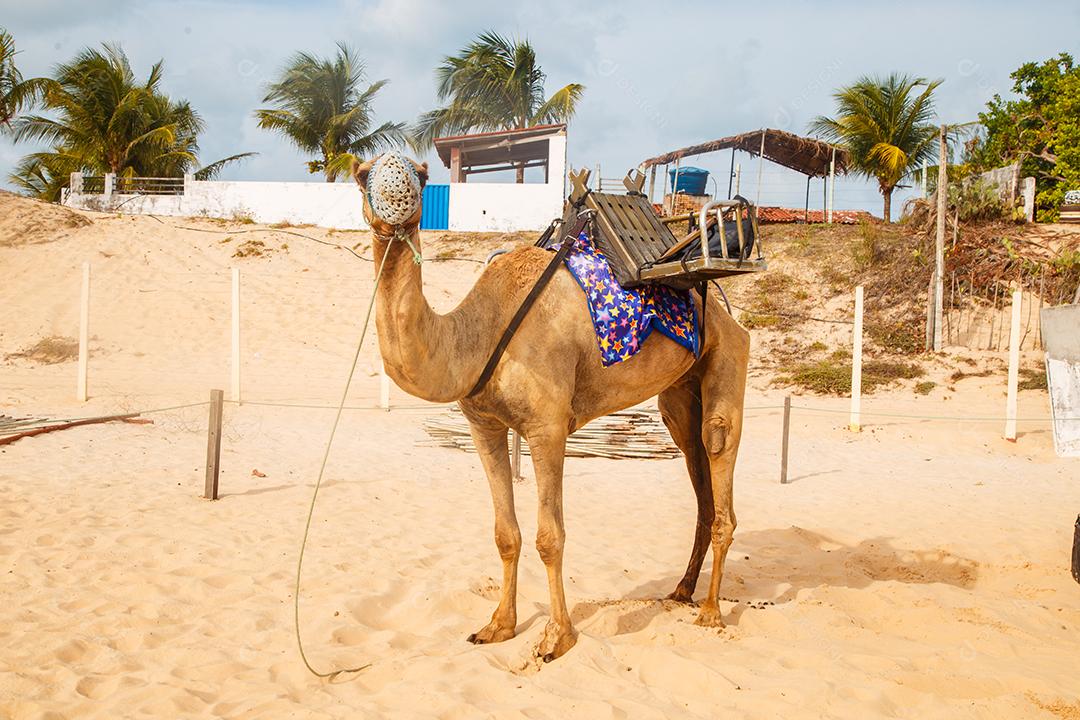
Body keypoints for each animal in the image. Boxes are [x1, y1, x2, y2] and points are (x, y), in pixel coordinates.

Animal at [349, 152, 747, 664]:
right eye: (362, 174)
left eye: (420, 175)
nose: (396, 191)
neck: (479, 332)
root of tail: (725, 310)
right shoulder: (483, 426)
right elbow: (506, 533)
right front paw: (498, 625)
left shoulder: (547, 426)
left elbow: (549, 536)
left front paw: (556, 637)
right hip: (679, 393)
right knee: (697, 470)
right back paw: (681, 590)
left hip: (729, 355)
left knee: (718, 450)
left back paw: (711, 612)